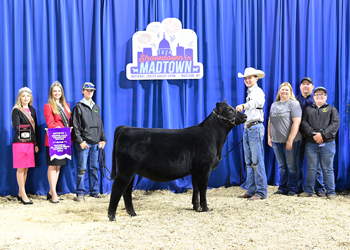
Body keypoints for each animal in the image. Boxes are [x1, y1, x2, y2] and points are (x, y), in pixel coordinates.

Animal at [108, 99, 247, 221]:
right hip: (126, 169)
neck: (213, 136)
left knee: (126, 191)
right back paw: (112, 216)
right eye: (229, 110)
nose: (245, 116)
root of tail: (126, 128)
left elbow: (196, 187)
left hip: (131, 171)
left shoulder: (196, 170)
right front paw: (206, 208)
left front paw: (196, 207)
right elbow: (203, 188)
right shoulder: (204, 168)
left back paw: (132, 213)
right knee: (117, 188)